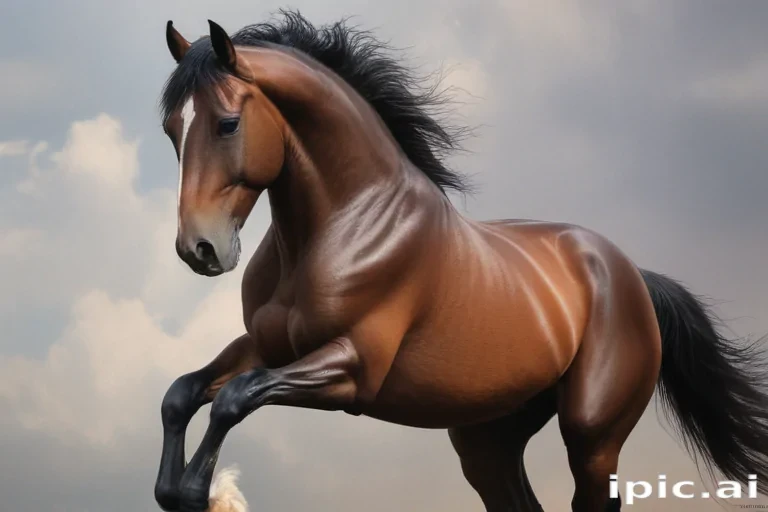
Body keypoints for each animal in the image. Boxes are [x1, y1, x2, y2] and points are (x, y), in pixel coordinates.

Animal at [153, 11, 768, 512]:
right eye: (171, 129)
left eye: (228, 123)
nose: (199, 249)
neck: (343, 225)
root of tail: (634, 276)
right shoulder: (267, 348)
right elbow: (182, 392)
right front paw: (170, 488)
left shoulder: (350, 368)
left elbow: (234, 398)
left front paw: (195, 489)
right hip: (486, 440)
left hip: (593, 436)